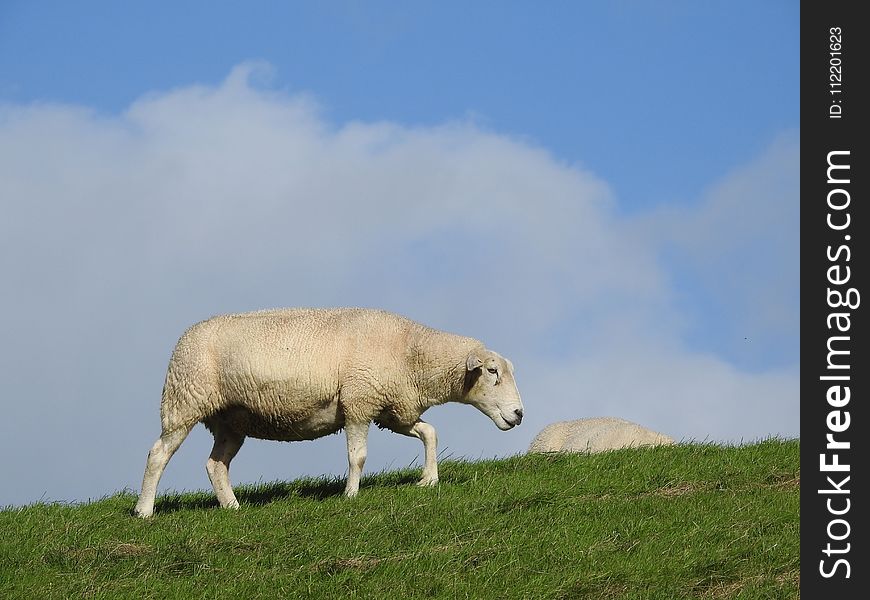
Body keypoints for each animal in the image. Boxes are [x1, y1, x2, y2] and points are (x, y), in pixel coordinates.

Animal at [135, 308, 524, 516]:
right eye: (492, 371)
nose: (519, 414)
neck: (411, 353)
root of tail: (183, 337)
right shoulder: (358, 403)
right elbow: (358, 456)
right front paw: (350, 494)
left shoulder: (390, 409)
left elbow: (430, 432)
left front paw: (428, 479)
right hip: (184, 400)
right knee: (158, 454)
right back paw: (144, 510)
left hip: (232, 419)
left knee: (216, 464)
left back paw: (232, 507)